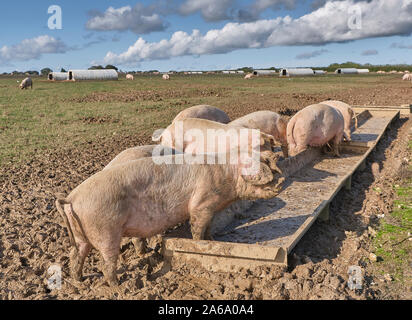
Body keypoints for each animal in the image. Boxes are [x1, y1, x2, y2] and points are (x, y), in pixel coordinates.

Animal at [56, 151, 284, 286]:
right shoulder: (201, 204)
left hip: (81, 236)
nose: (281, 182)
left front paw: (212, 240)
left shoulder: (211, 208)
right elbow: (197, 228)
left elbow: (209, 226)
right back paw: (119, 285)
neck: (227, 175)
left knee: (75, 256)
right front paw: (201, 243)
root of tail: (71, 198)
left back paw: (79, 281)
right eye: (265, 172)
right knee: (106, 263)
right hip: (105, 230)